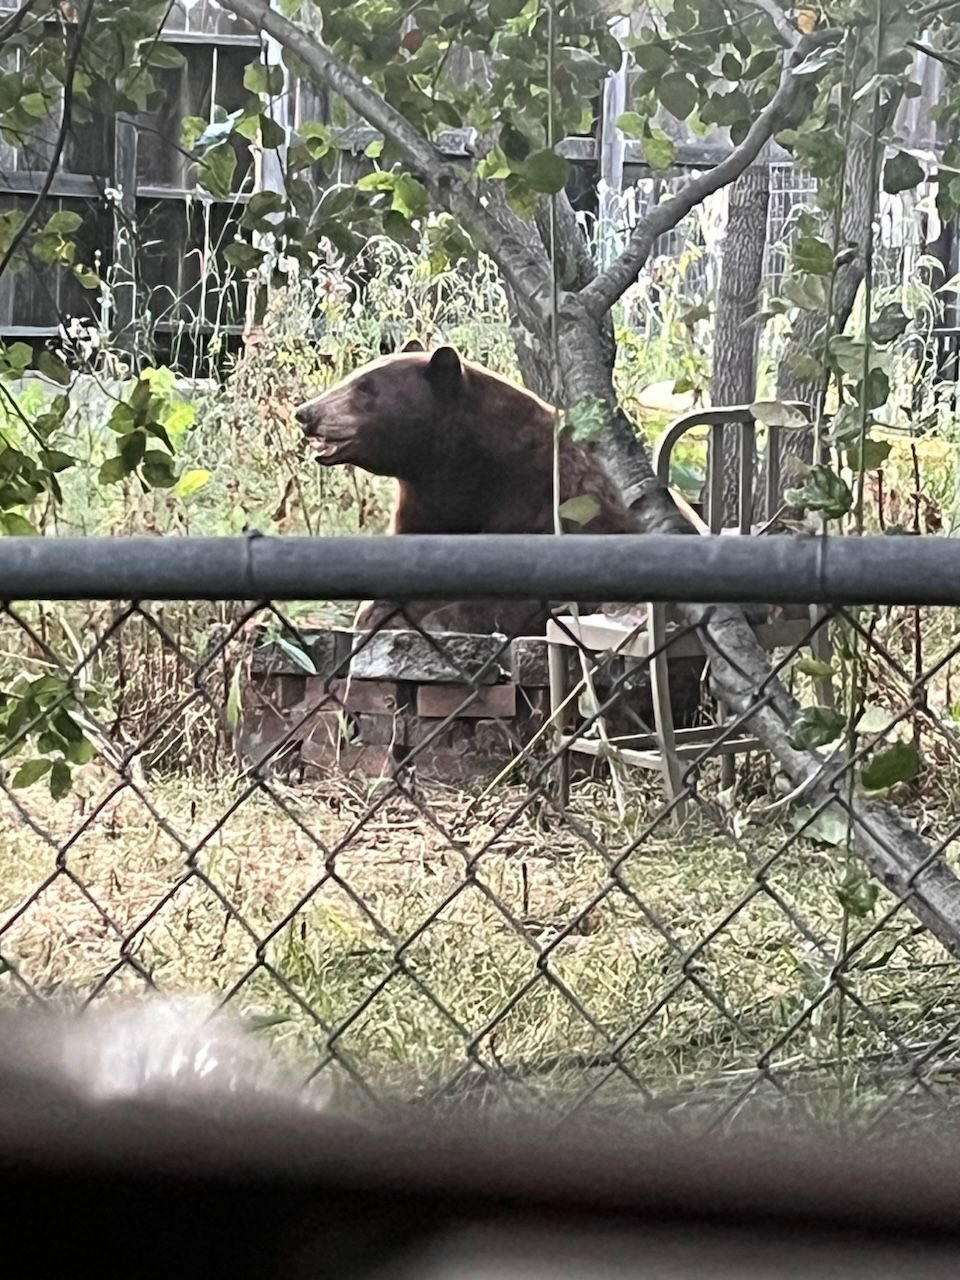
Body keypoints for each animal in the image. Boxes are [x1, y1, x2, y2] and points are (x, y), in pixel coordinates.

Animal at [294, 341, 638, 638]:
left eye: (365, 387)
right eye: (352, 377)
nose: (306, 412)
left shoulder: (546, 500)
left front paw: (438, 618)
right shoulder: (425, 504)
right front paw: (380, 613)